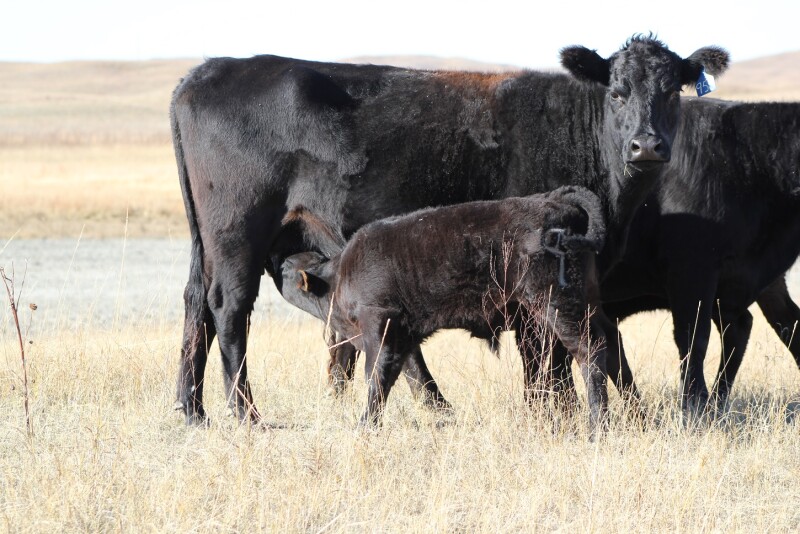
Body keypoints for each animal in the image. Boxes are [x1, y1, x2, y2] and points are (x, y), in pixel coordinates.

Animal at [281, 186, 610, 434]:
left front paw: (366, 425)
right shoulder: (404, 339)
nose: (280, 263)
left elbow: (376, 376)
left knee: (588, 353)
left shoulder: (379, 326)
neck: (338, 275)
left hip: (557, 308)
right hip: (577, 309)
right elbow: (414, 377)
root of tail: (554, 202)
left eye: (286, 270)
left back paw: (597, 427)